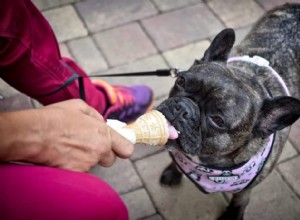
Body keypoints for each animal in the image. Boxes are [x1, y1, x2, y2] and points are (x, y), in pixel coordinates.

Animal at [156, 3, 300, 220]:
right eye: (181, 81)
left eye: (218, 120)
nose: (182, 108)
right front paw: (173, 171)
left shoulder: (246, 188)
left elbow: (240, 200)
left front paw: (233, 214)